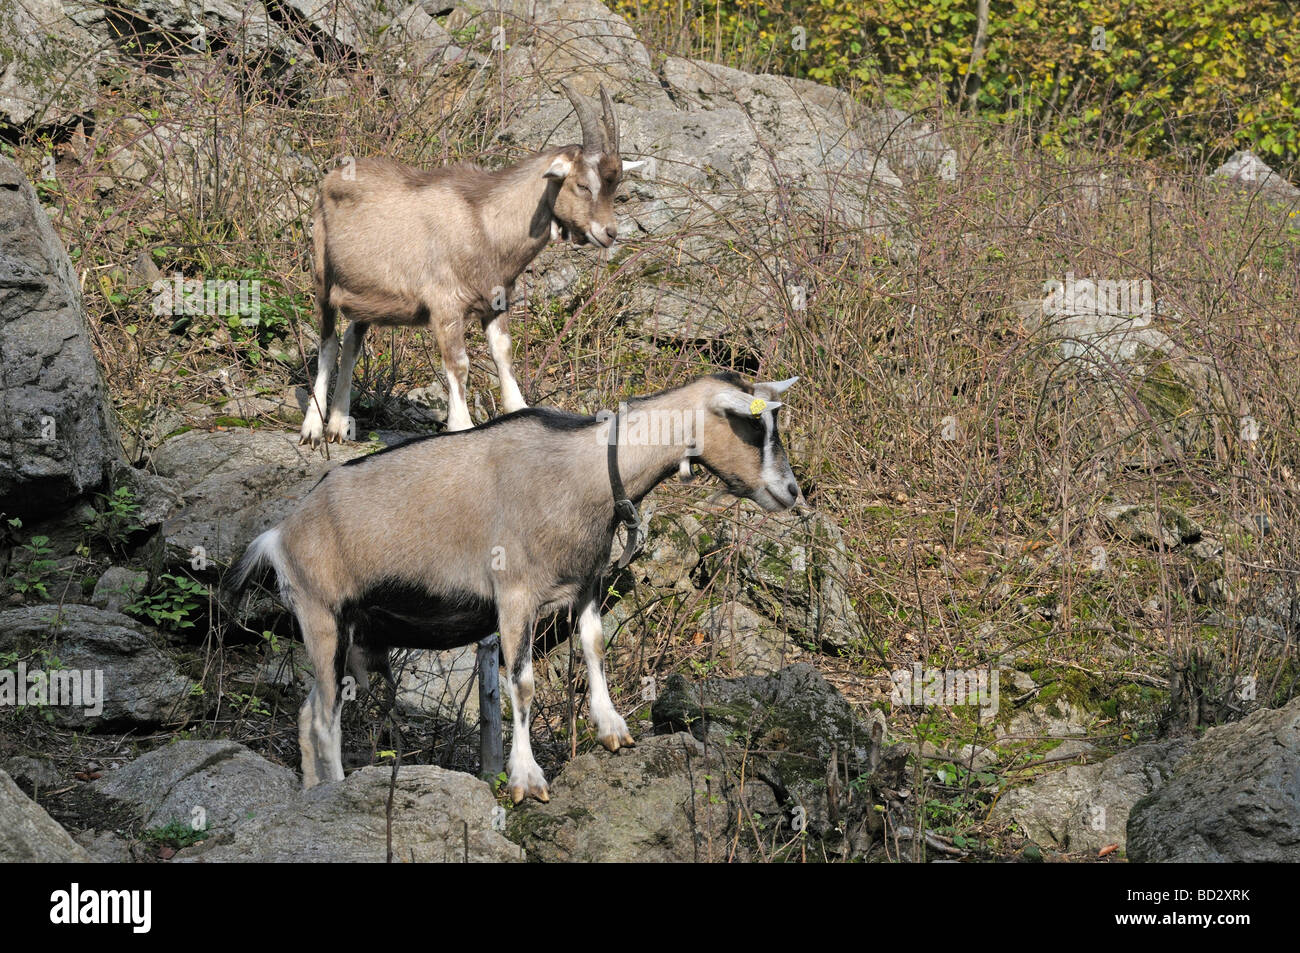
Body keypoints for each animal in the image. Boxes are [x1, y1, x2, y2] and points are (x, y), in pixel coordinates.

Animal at [233, 373, 802, 801]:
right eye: (755, 423)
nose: (791, 492)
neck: (588, 472)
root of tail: (279, 534)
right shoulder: (514, 598)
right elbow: (521, 684)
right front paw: (526, 780)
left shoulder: (586, 584)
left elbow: (594, 646)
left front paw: (613, 730)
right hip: (323, 616)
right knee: (324, 718)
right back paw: (335, 790)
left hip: (347, 635)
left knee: (310, 712)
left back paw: (313, 790)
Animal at [300, 81, 641, 443]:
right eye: (582, 185)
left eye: (615, 185)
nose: (608, 233)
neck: (484, 222)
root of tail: (330, 179)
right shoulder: (446, 306)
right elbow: (459, 364)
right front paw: (460, 427)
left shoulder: (495, 303)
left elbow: (503, 354)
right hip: (323, 278)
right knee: (327, 345)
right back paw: (313, 429)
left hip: (367, 297)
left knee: (351, 341)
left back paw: (339, 425)